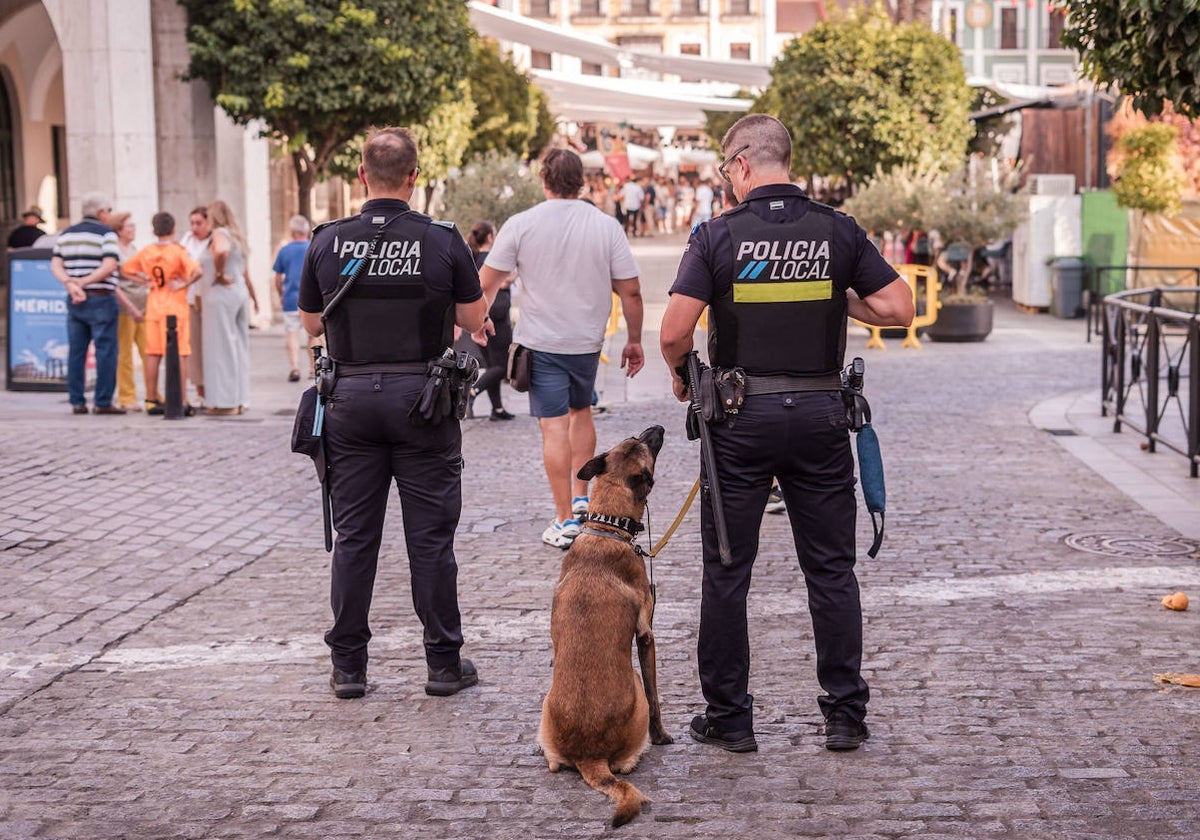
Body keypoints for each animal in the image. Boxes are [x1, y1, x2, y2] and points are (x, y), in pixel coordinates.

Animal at [537, 427, 672, 825]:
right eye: (646, 446)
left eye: (635, 437)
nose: (658, 427)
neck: (605, 527)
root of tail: (589, 756)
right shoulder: (647, 636)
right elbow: (657, 698)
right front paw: (663, 736)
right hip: (635, 692)